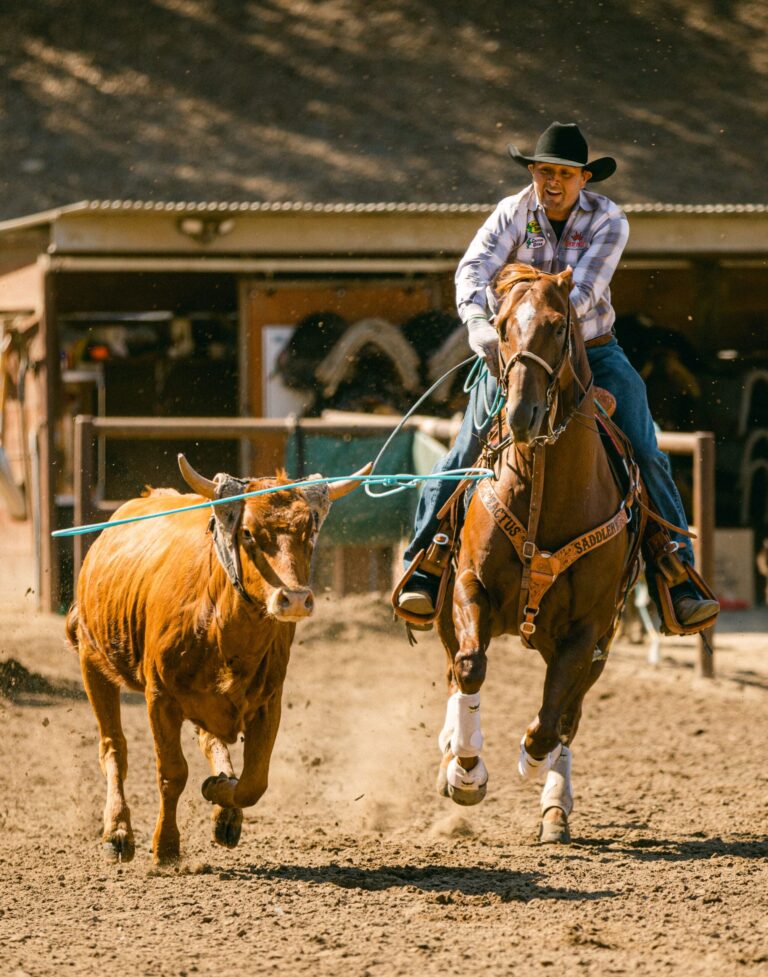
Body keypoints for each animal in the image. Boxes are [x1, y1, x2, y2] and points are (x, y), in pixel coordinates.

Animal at [435, 263, 638, 844]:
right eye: (501, 326)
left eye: (556, 325)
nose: (522, 413)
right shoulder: (469, 587)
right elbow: (471, 666)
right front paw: (466, 769)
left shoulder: (590, 628)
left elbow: (552, 719)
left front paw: (532, 756)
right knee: (455, 667)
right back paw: (450, 751)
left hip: (596, 645)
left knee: (569, 712)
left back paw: (554, 805)